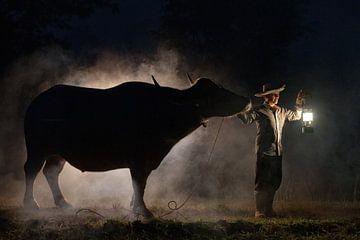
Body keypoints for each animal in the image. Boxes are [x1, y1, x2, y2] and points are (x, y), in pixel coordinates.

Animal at [21, 77, 248, 218]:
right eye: (217, 94)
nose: (245, 100)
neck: (162, 112)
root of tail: (34, 104)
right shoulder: (138, 159)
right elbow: (139, 182)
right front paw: (144, 211)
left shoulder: (148, 160)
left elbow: (142, 183)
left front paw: (135, 206)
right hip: (37, 148)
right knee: (31, 170)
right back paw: (30, 204)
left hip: (57, 153)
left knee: (51, 172)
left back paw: (63, 203)